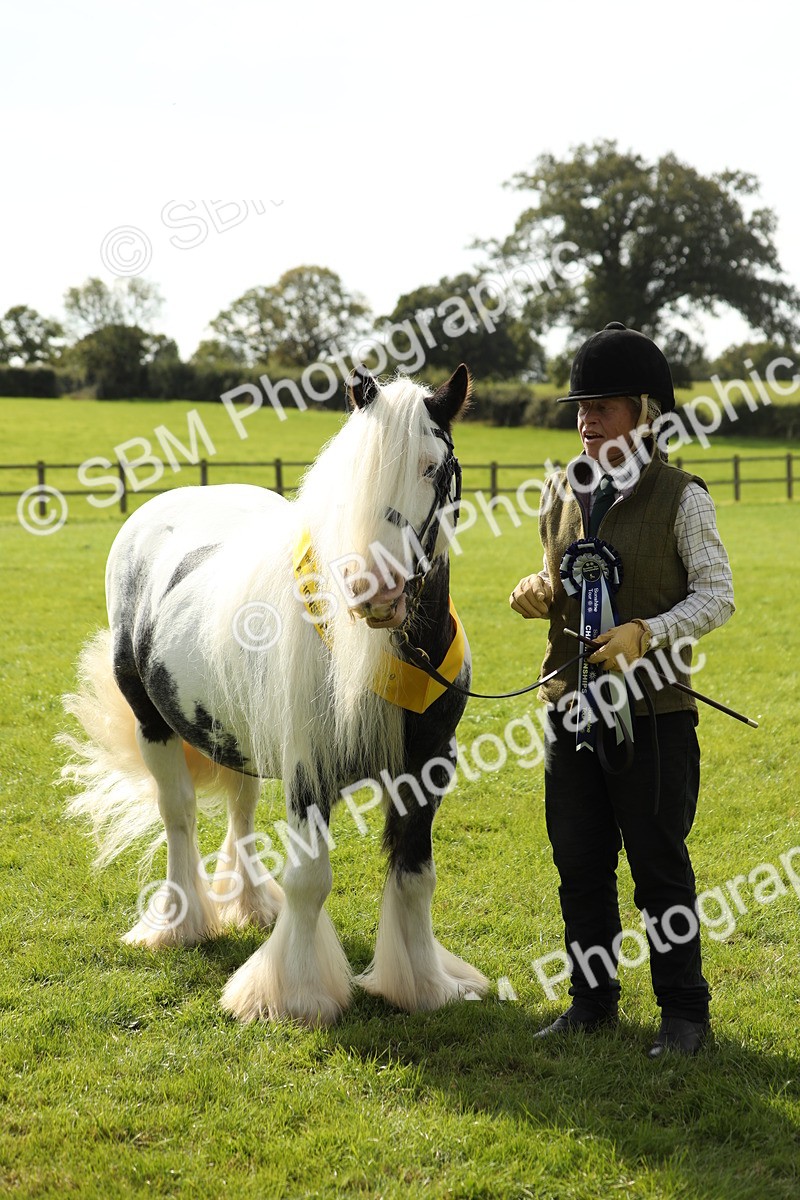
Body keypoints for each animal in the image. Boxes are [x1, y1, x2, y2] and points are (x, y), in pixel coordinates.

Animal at [61, 363, 488, 1025]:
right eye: (351, 476)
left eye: (432, 466)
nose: (377, 591)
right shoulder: (309, 770)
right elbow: (310, 881)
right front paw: (294, 996)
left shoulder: (427, 767)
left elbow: (415, 877)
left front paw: (422, 986)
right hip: (151, 723)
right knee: (178, 814)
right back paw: (180, 924)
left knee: (240, 806)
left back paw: (250, 906)